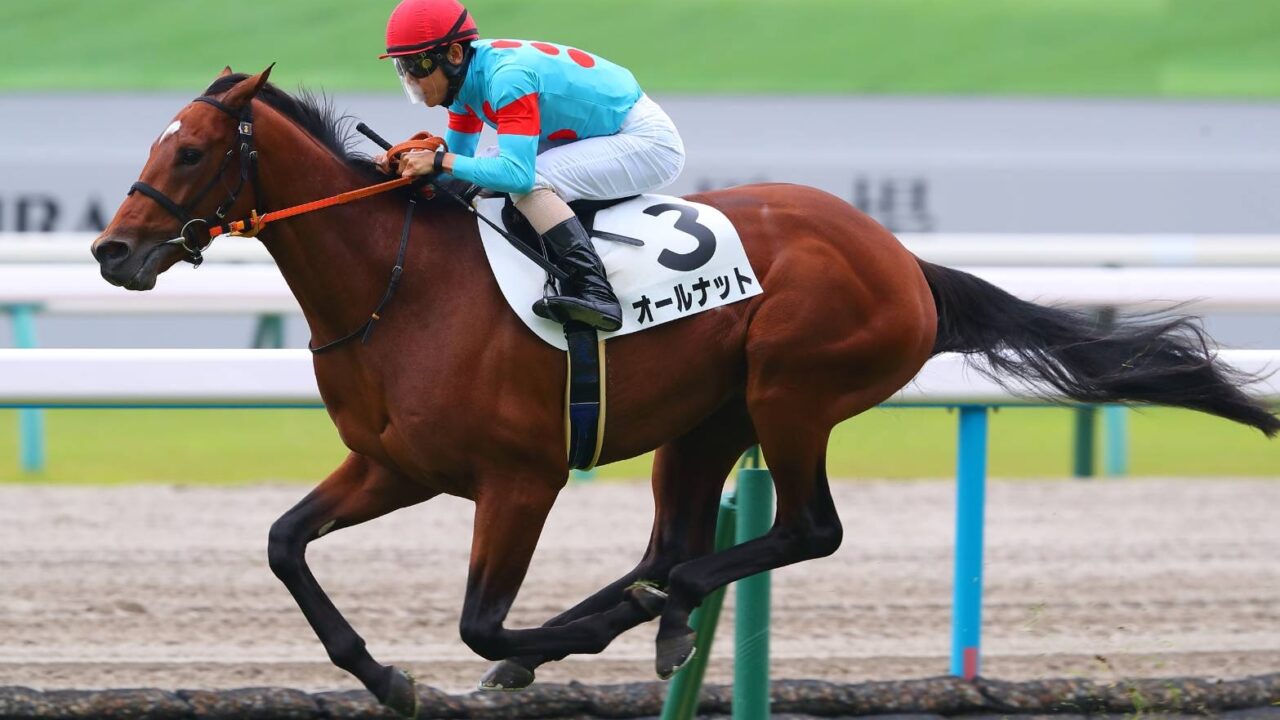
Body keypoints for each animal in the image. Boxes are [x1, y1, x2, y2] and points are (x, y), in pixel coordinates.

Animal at [91, 67, 1278, 715]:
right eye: (157, 142)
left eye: (191, 152)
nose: (111, 252)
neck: (402, 285)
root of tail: (902, 260)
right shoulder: (394, 463)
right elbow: (286, 544)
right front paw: (385, 678)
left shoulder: (520, 479)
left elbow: (485, 626)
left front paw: (523, 654)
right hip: (704, 421)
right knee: (677, 538)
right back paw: (654, 609)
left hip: (794, 389)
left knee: (801, 530)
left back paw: (648, 610)